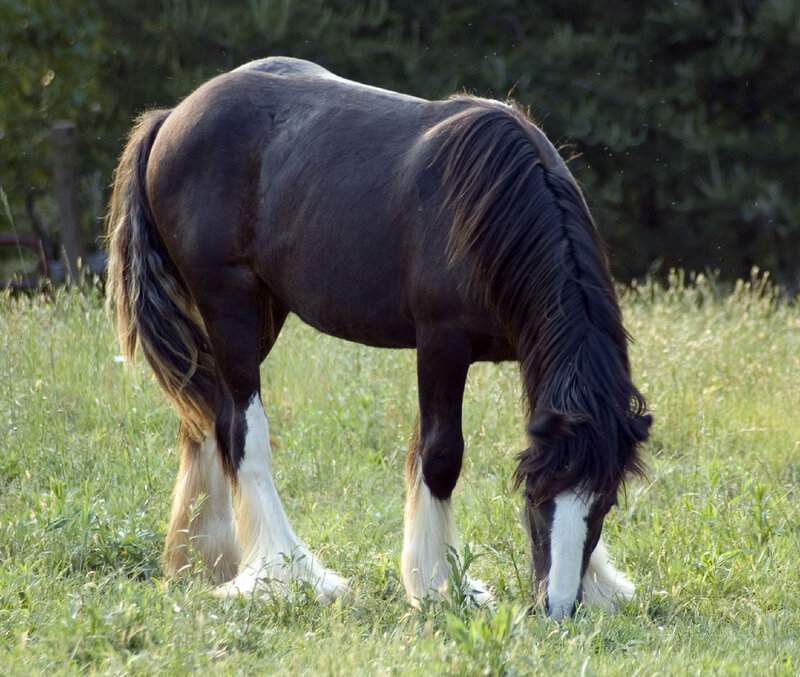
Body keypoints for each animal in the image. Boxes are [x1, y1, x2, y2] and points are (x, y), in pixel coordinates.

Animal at [106, 57, 651, 620]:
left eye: (606, 500)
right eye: (535, 494)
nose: (558, 608)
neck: (493, 207)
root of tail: (171, 118)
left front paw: (599, 583)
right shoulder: (441, 343)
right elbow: (440, 457)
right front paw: (440, 585)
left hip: (258, 315)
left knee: (205, 419)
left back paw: (205, 561)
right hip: (229, 305)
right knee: (241, 430)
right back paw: (288, 574)